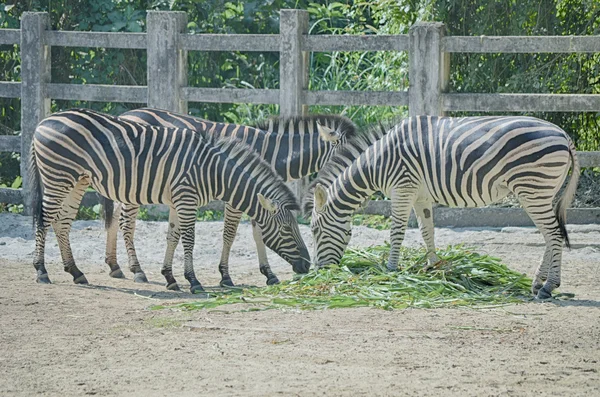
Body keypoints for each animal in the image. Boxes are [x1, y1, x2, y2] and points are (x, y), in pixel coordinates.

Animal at [29, 107, 310, 290]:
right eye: (286, 229)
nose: (307, 266)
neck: (212, 171)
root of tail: (44, 121)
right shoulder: (187, 199)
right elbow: (189, 239)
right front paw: (194, 281)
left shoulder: (178, 200)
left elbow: (172, 237)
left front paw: (170, 278)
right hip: (57, 176)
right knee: (45, 219)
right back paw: (42, 271)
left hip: (77, 180)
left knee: (62, 222)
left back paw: (76, 272)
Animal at [308, 116, 580, 298]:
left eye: (314, 230)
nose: (320, 272)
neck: (376, 163)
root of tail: (563, 135)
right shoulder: (421, 196)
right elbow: (427, 230)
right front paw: (432, 266)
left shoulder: (403, 188)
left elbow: (397, 232)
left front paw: (391, 270)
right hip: (538, 193)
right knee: (550, 235)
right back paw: (537, 283)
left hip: (533, 189)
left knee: (553, 235)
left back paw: (548, 287)